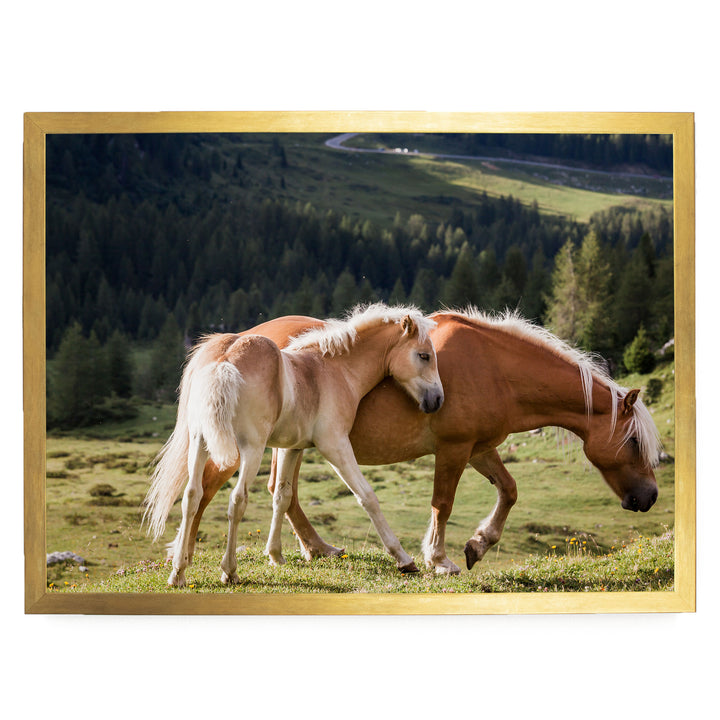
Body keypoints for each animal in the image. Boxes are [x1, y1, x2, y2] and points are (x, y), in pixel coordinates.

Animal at [143, 303, 444, 587]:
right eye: (424, 355)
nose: (437, 399)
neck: (332, 370)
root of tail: (224, 359)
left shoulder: (291, 447)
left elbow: (282, 496)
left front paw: (275, 555)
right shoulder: (335, 445)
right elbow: (367, 496)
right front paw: (403, 559)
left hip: (200, 442)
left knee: (192, 496)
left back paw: (178, 572)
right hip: (250, 449)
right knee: (237, 500)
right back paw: (229, 571)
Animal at [172, 308, 662, 576]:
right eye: (633, 443)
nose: (650, 497)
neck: (495, 368)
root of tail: (231, 344)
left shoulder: (480, 448)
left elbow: (509, 490)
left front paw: (478, 544)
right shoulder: (454, 449)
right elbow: (442, 504)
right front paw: (438, 558)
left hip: (284, 443)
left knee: (280, 494)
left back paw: (316, 549)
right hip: (240, 446)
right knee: (209, 491)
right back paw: (187, 557)